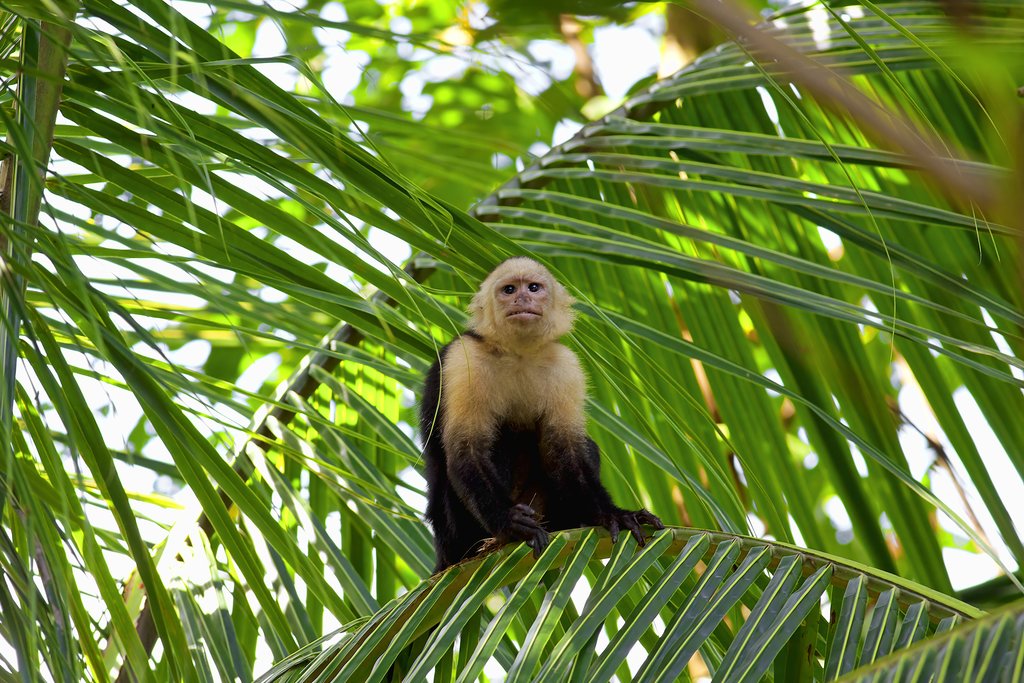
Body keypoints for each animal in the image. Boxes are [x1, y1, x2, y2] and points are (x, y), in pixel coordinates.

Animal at [420, 257, 664, 572]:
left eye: (534, 288)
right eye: (509, 289)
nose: (523, 298)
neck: (517, 353)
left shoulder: (566, 366)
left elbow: (565, 449)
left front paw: (612, 514)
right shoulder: (464, 359)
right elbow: (468, 450)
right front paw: (510, 521)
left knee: (584, 447)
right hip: (456, 532)